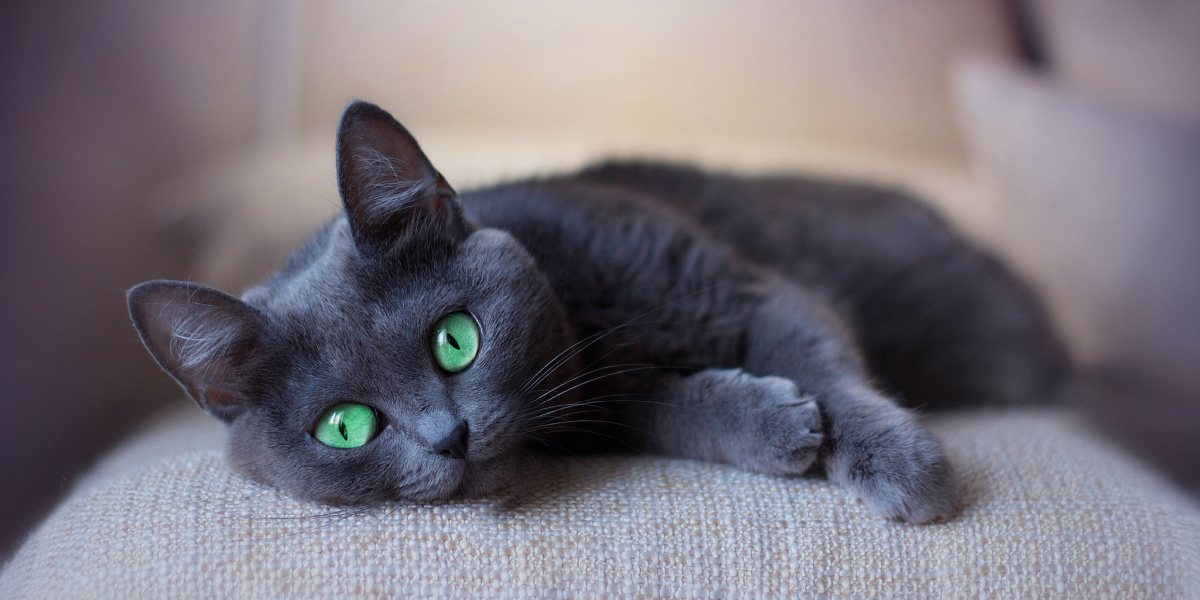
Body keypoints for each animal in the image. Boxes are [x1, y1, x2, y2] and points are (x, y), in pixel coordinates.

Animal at [129, 100, 1070, 523]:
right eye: (347, 428)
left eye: (456, 340)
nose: (449, 438)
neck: (594, 328)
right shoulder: (603, 410)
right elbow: (671, 412)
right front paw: (773, 426)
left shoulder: (745, 287)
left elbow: (825, 362)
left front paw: (906, 470)